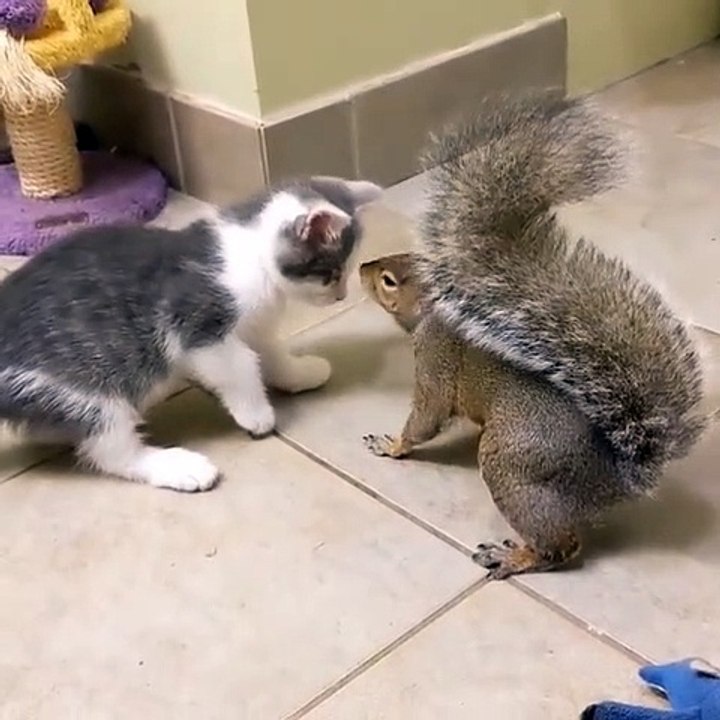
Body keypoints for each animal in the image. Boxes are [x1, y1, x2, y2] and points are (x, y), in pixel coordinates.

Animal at [359, 93, 710, 580]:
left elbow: (427, 417)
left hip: (512, 465)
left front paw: (392, 445)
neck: (436, 313)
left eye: (389, 281)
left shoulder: (435, 356)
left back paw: (515, 556)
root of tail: (612, 479)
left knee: (563, 546)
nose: (361, 269)